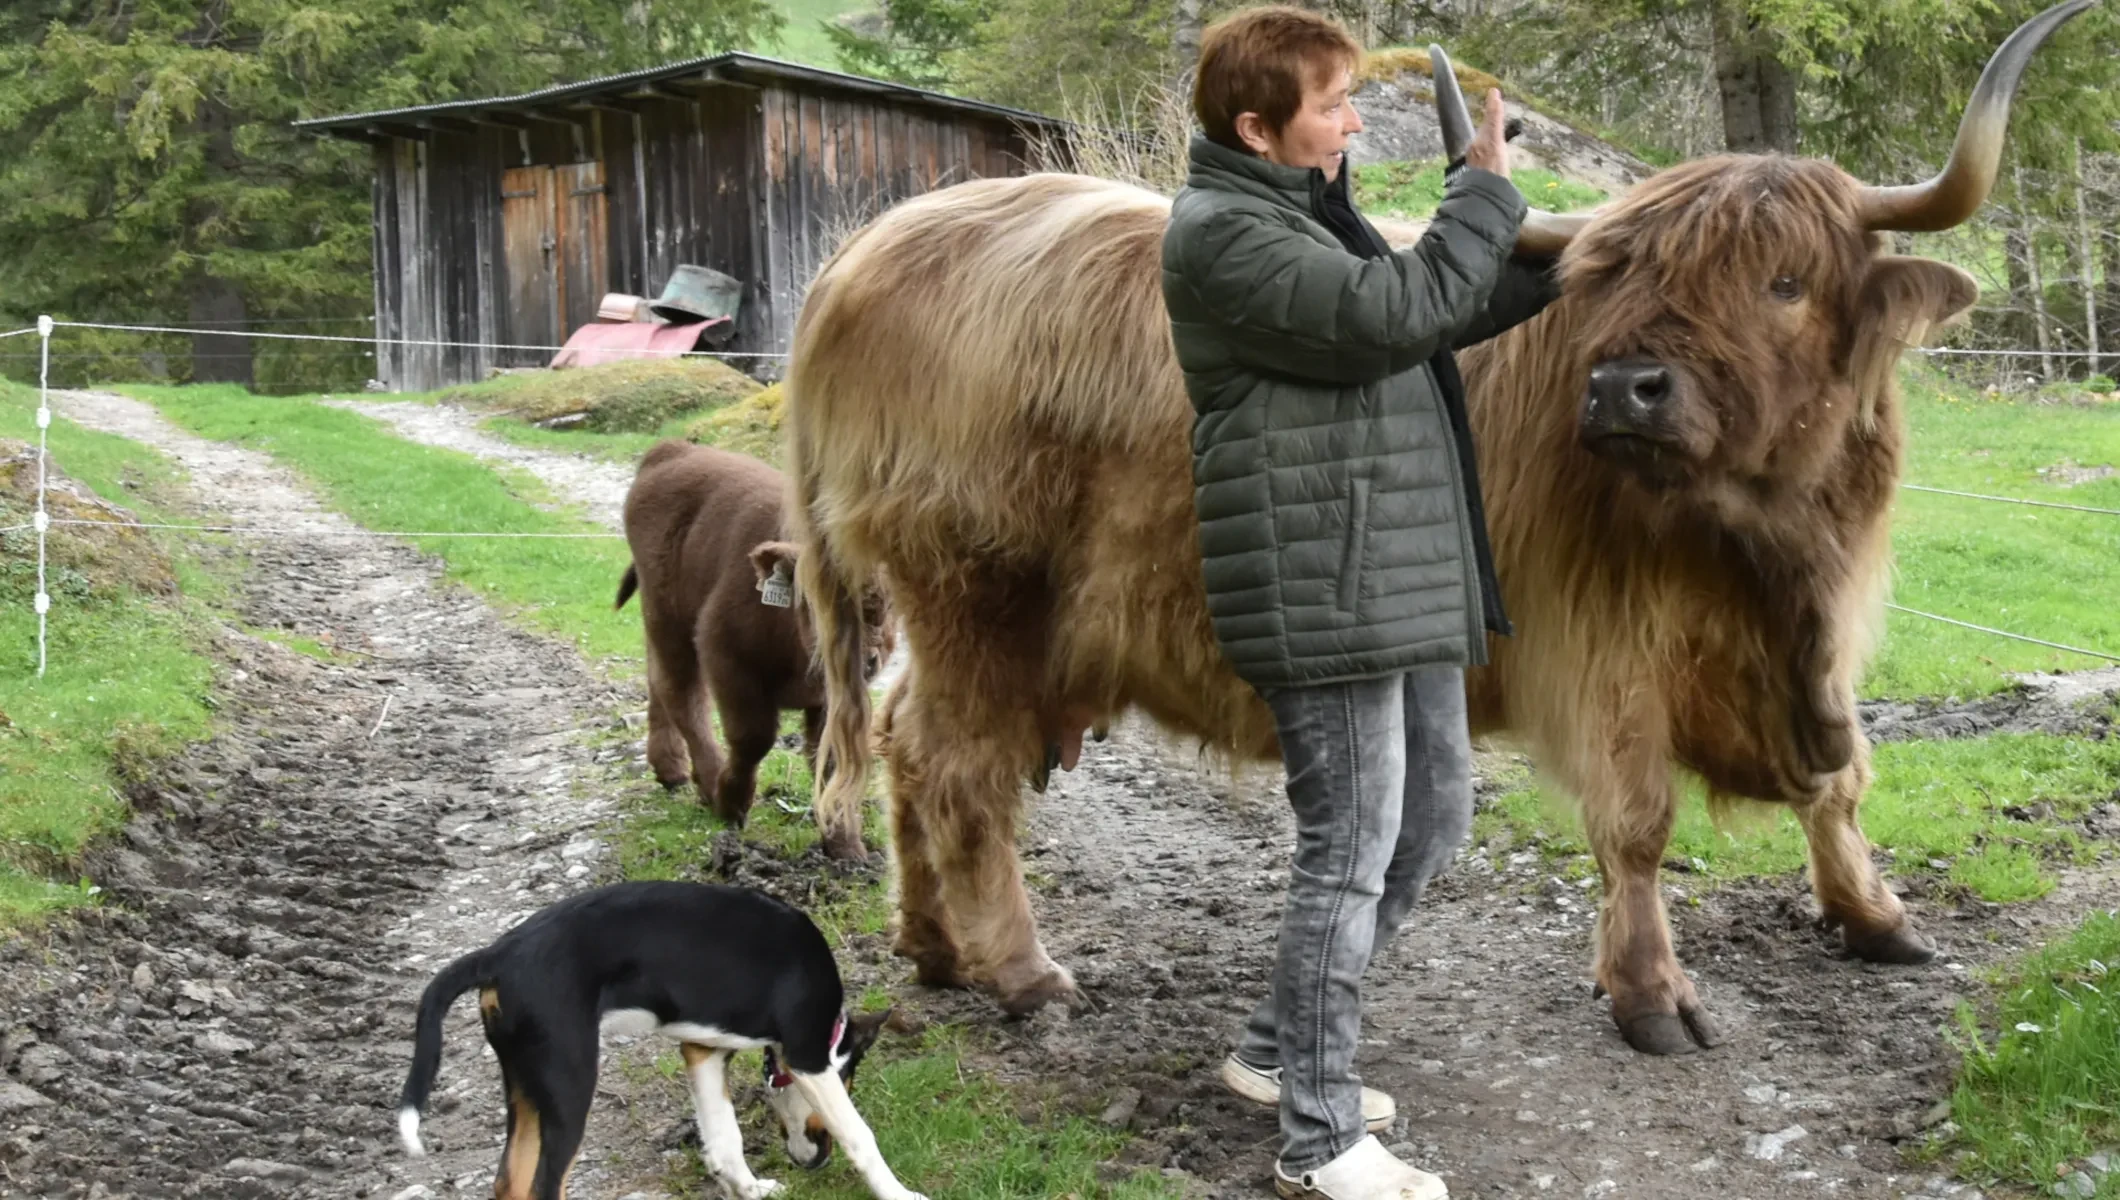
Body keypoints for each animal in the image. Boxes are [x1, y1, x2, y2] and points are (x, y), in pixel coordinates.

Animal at [398, 877, 928, 1195]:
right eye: (852, 1083)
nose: (814, 1164)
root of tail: (497, 954)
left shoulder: (703, 1052)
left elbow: (725, 1141)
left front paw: (751, 1190)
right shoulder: (809, 1058)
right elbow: (860, 1136)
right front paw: (900, 1193)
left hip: (526, 1089)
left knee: (509, 1182)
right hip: (569, 1088)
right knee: (543, 1187)